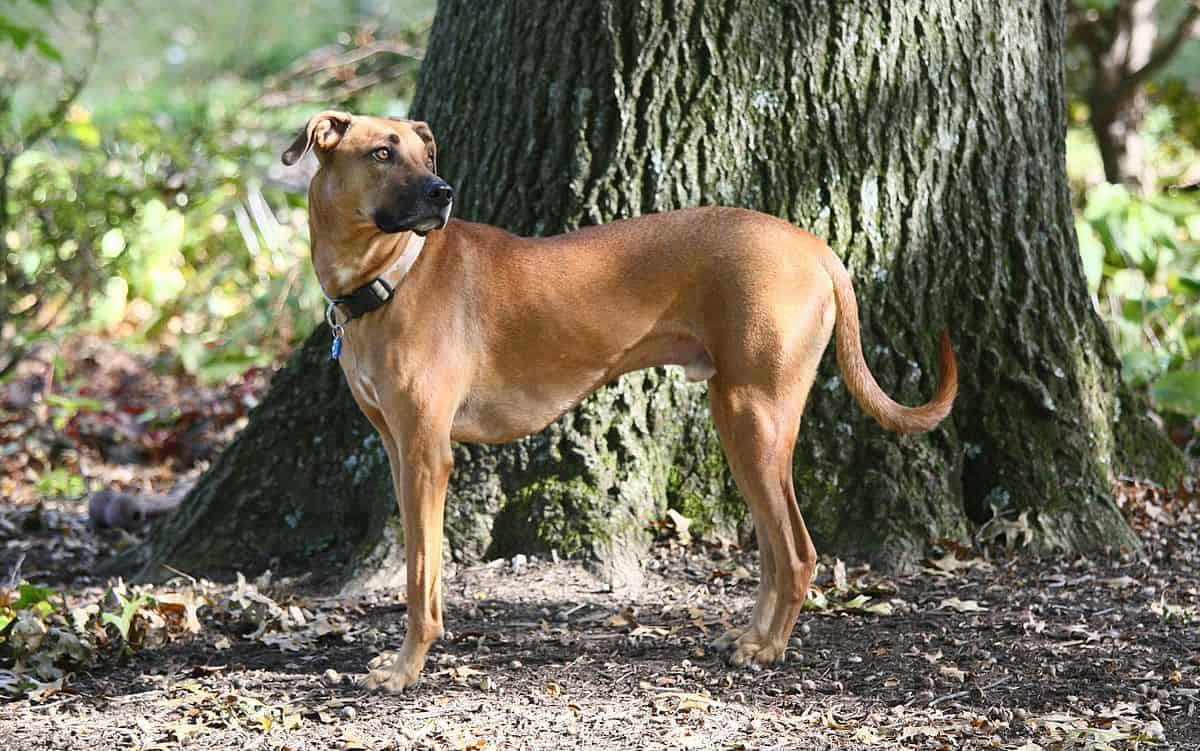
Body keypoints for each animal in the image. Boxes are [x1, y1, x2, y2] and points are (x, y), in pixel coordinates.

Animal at [280, 110, 955, 691]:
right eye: (382, 153)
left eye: (426, 155)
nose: (442, 193)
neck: (391, 279)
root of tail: (815, 248)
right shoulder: (400, 452)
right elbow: (427, 569)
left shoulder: (426, 456)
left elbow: (420, 581)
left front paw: (404, 670)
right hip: (740, 423)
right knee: (773, 548)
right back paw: (750, 636)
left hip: (753, 419)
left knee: (795, 552)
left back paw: (767, 649)